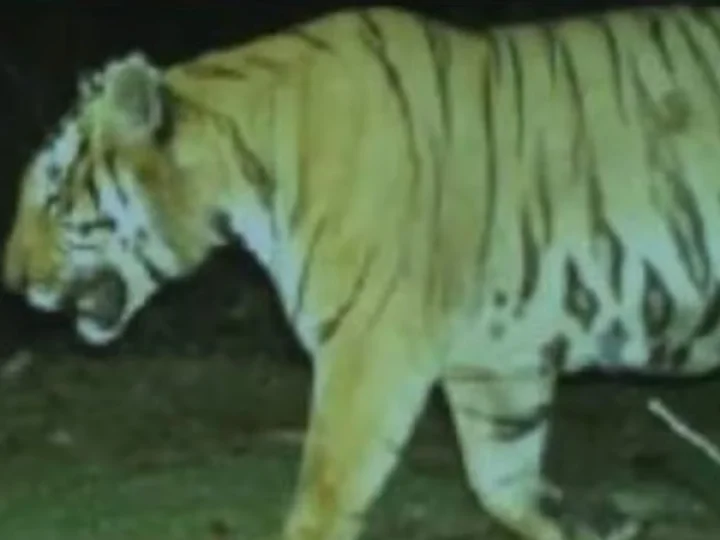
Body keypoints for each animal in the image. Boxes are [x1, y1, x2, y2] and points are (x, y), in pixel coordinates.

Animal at [5, 3, 720, 539]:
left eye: (53, 198)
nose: (11, 280)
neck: (243, 163)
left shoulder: (369, 350)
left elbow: (324, 495)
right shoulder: (497, 364)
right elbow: (503, 482)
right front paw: (585, 521)